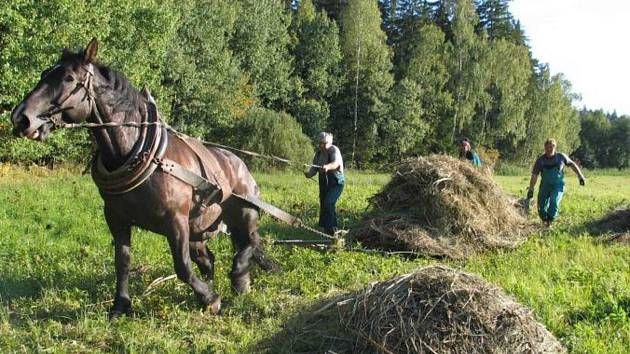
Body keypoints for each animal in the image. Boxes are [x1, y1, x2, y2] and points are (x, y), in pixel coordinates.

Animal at [9, 40, 276, 320]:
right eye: (44, 73)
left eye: (69, 78)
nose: (20, 118)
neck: (140, 154)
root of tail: (239, 162)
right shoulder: (117, 219)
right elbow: (122, 262)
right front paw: (120, 305)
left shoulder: (175, 220)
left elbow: (181, 265)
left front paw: (209, 299)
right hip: (201, 227)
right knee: (211, 255)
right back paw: (237, 281)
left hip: (245, 211)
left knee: (251, 241)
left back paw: (238, 274)